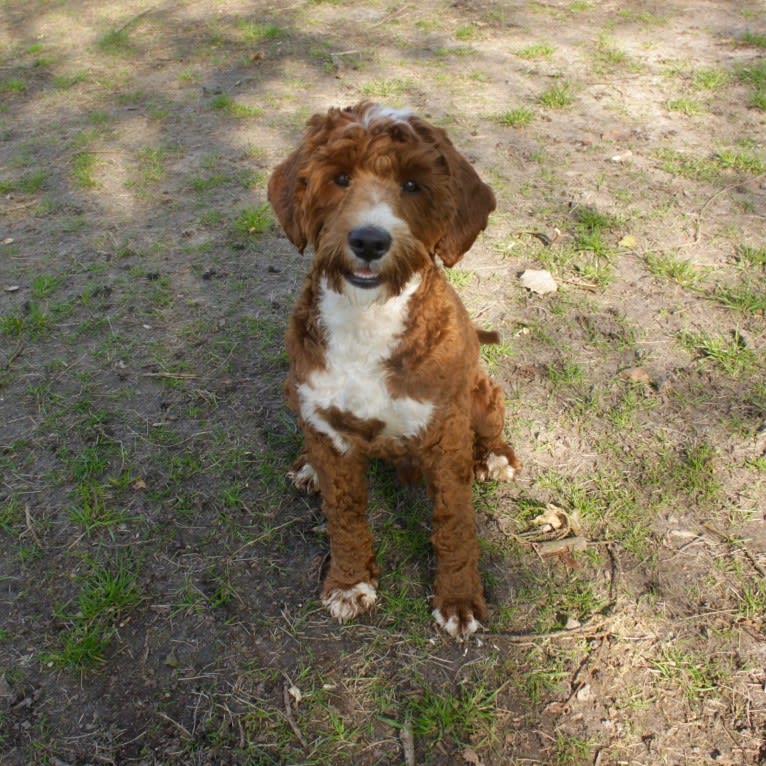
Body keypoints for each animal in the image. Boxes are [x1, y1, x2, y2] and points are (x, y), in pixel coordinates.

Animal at [268, 103, 520, 640]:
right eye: (339, 177)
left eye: (412, 184)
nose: (368, 240)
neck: (368, 321)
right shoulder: (328, 427)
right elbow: (344, 517)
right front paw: (349, 582)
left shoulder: (446, 436)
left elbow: (454, 523)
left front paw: (459, 598)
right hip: (291, 392)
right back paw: (307, 466)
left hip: (481, 393)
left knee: (492, 425)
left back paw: (495, 457)